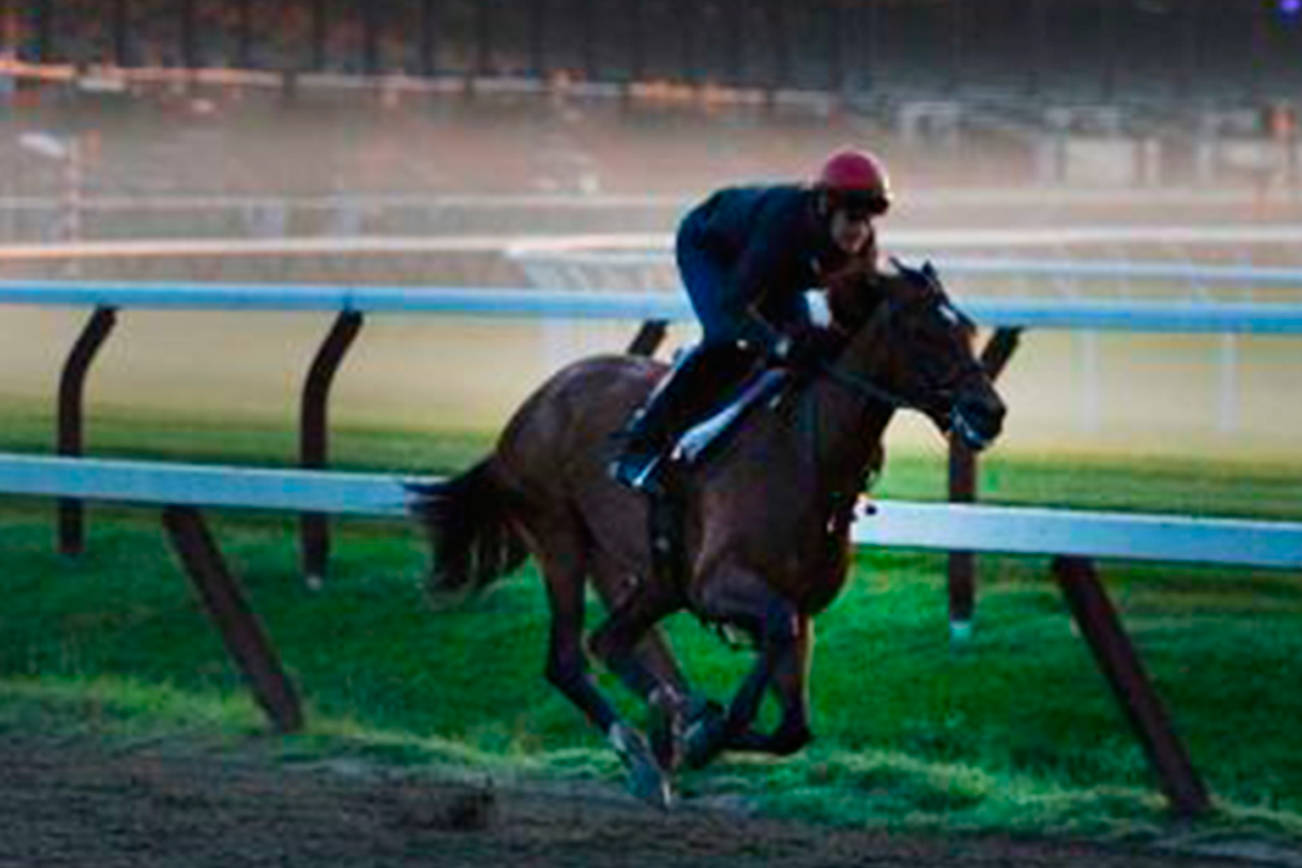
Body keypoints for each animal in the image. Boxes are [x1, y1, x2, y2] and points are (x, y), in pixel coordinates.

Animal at [406, 260, 1005, 806]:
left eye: (968, 328)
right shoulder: (720, 585)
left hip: (651, 574)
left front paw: (694, 728)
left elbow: (794, 727)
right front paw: (703, 733)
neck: (808, 459)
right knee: (569, 659)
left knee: (612, 640)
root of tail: (534, 404)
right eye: (923, 332)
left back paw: (663, 723)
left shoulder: (798, 606)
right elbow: (762, 665)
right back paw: (645, 749)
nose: (989, 412)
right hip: (559, 536)